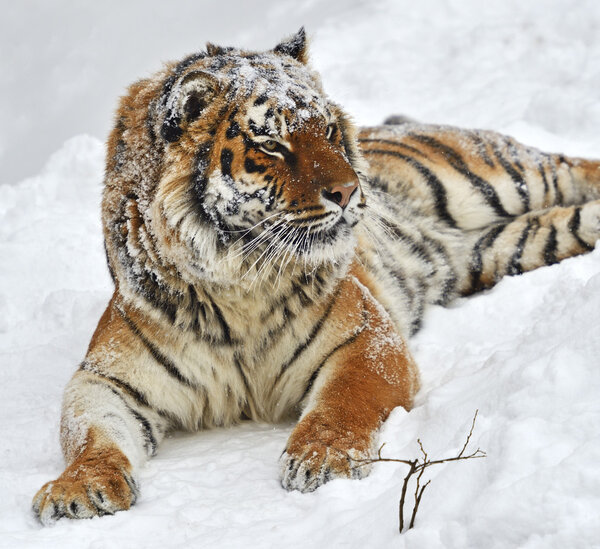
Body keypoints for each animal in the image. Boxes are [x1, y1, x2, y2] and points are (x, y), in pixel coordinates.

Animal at [31, 28, 600, 524]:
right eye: (272, 145)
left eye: (327, 130)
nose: (350, 192)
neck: (239, 282)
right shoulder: (106, 377)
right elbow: (89, 434)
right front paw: (79, 489)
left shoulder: (367, 337)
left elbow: (345, 401)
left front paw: (321, 459)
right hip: (507, 247)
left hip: (506, 174)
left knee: (575, 165)